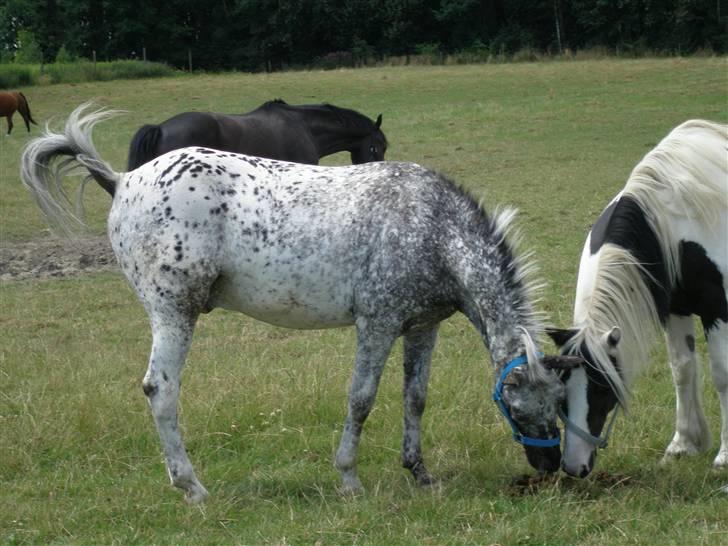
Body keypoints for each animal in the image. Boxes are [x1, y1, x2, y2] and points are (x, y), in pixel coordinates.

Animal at [548, 119, 724, 476]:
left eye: (603, 388)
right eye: (561, 388)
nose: (573, 466)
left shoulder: (717, 308)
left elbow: (722, 374)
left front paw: (724, 456)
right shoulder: (675, 308)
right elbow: (682, 368)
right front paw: (683, 445)